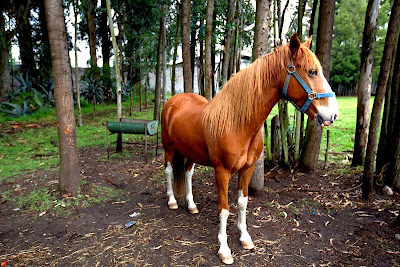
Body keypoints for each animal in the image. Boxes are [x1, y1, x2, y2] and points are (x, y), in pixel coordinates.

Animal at [161, 34, 340, 266]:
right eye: (312, 71)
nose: (332, 115)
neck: (237, 123)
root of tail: (174, 101)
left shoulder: (247, 169)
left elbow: (242, 203)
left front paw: (245, 238)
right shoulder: (222, 172)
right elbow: (224, 210)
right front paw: (224, 250)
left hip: (190, 153)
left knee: (188, 172)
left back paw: (191, 205)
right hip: (168, 148)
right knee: (168, 171)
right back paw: (172, 201)